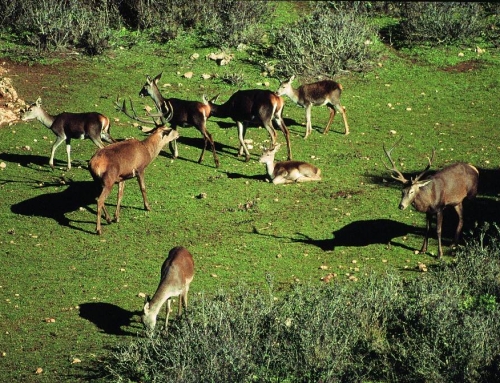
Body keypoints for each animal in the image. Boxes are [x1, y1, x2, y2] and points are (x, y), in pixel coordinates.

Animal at [88, 99, 178, 236]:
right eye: (169, 130)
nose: (178, 133)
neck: (147, 151)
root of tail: (92, 164)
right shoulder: (140, 169)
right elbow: (143, 188)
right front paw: (148, 207)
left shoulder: (122, 176)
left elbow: (120, 194)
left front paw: (116, 217)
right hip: (108, 181)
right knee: (99, 200)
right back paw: (98, 229)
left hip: (98, 181)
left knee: (99, 198)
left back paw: (108, 219)